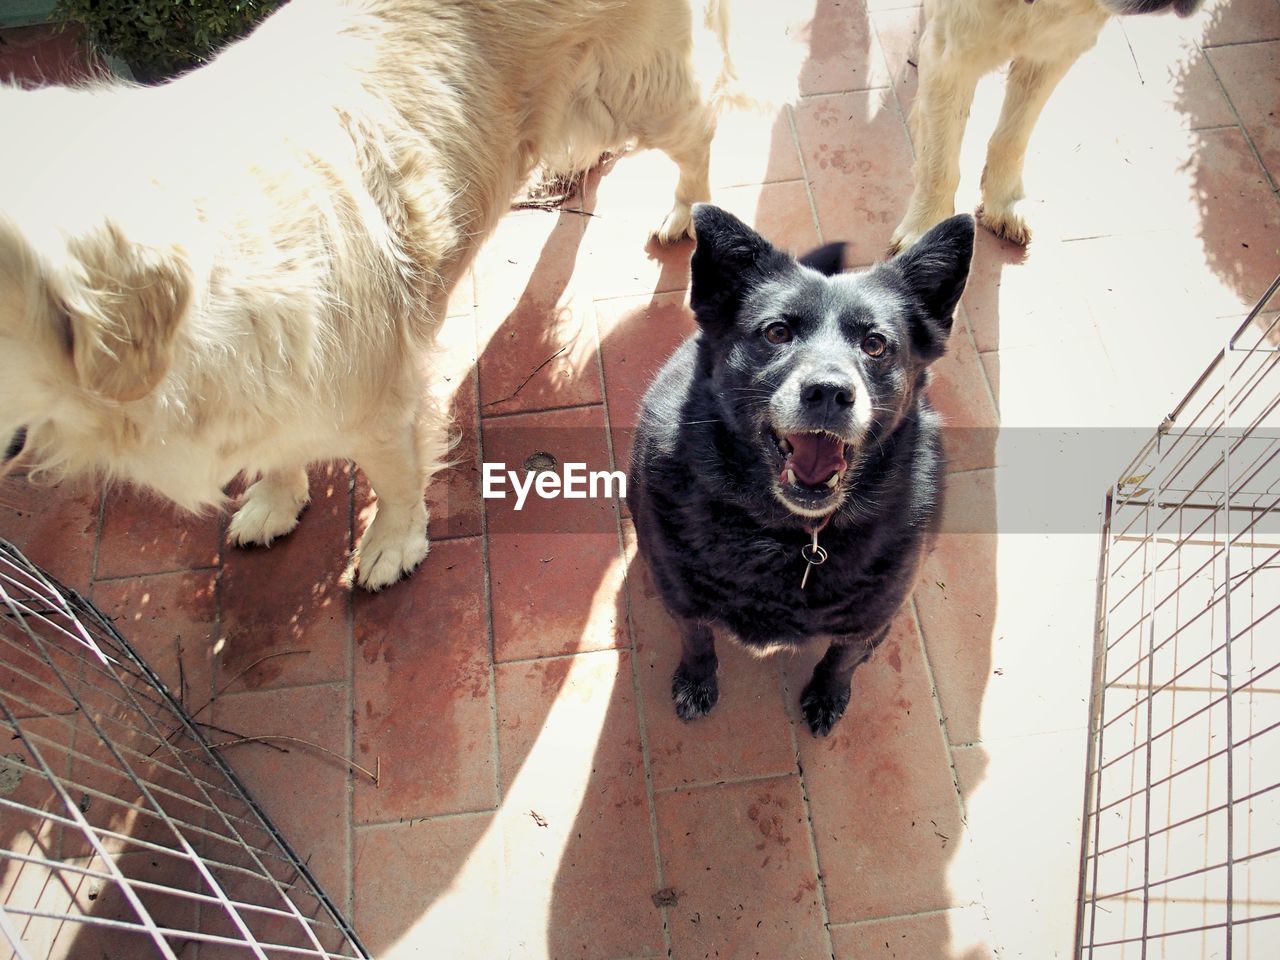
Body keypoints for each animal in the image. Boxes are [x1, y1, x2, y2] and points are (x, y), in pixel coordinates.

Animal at [0, 0, 737, 591]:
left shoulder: (377, 391)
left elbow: (394, 472)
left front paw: (393, 541)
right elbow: (277, 446)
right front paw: (276, 497)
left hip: (635, 88)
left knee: (700, 130)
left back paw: (689, 213)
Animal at [627, 207, 967, 737]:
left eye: (875, 344)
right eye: (777, 333)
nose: (829, 392)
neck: (786, 534)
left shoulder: (868, 623)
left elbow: (841, 661)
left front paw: (828, 695)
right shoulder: (682, 599)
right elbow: (697, 641)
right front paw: (696, 682)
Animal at [890, 0, 1198, 256]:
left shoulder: (1053, 48)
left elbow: (1011, 139)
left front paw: (1004, 201)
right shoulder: (950, 56)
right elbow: (939, 165)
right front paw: (928, 231)